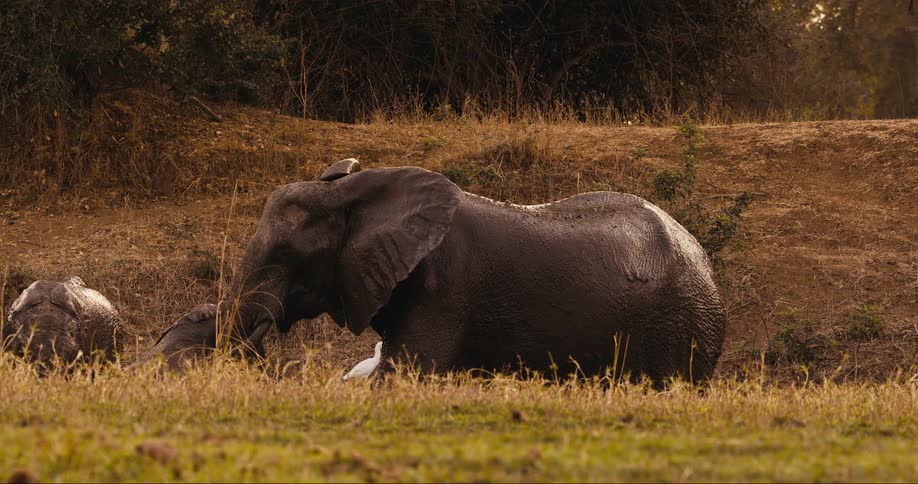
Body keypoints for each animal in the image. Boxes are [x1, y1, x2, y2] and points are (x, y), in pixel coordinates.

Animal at [220, 159, 726, 383]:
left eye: (286, 255)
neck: (358, 193)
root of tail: (704, 260)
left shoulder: (445, 291)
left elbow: (404, 374)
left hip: (682, 326)